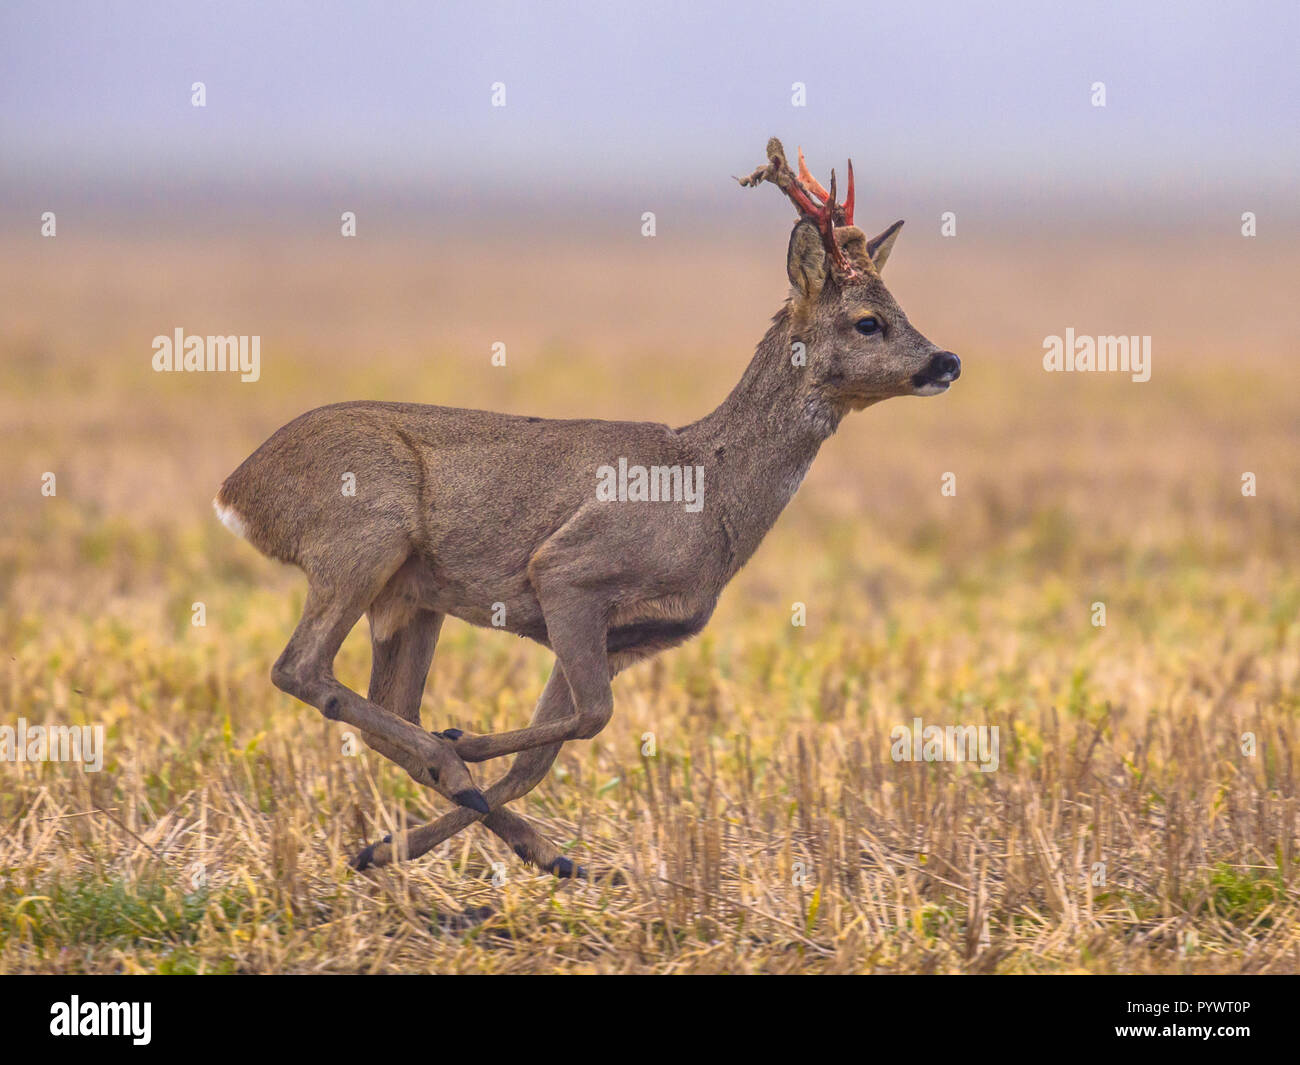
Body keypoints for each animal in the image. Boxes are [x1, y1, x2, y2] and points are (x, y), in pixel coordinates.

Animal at [213, 138, 961, 879]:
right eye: (868, 321)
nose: (946, 361)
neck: (707, 491)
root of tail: (237, 490)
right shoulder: (570, 569)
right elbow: (592, 717)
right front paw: (468, 745)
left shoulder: (626, 636)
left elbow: (545, 756)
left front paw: (489, 841)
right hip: (363, 533)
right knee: (300, 667)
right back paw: (448, 761)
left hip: (409, 596)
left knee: (382, 701)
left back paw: (441, 825)